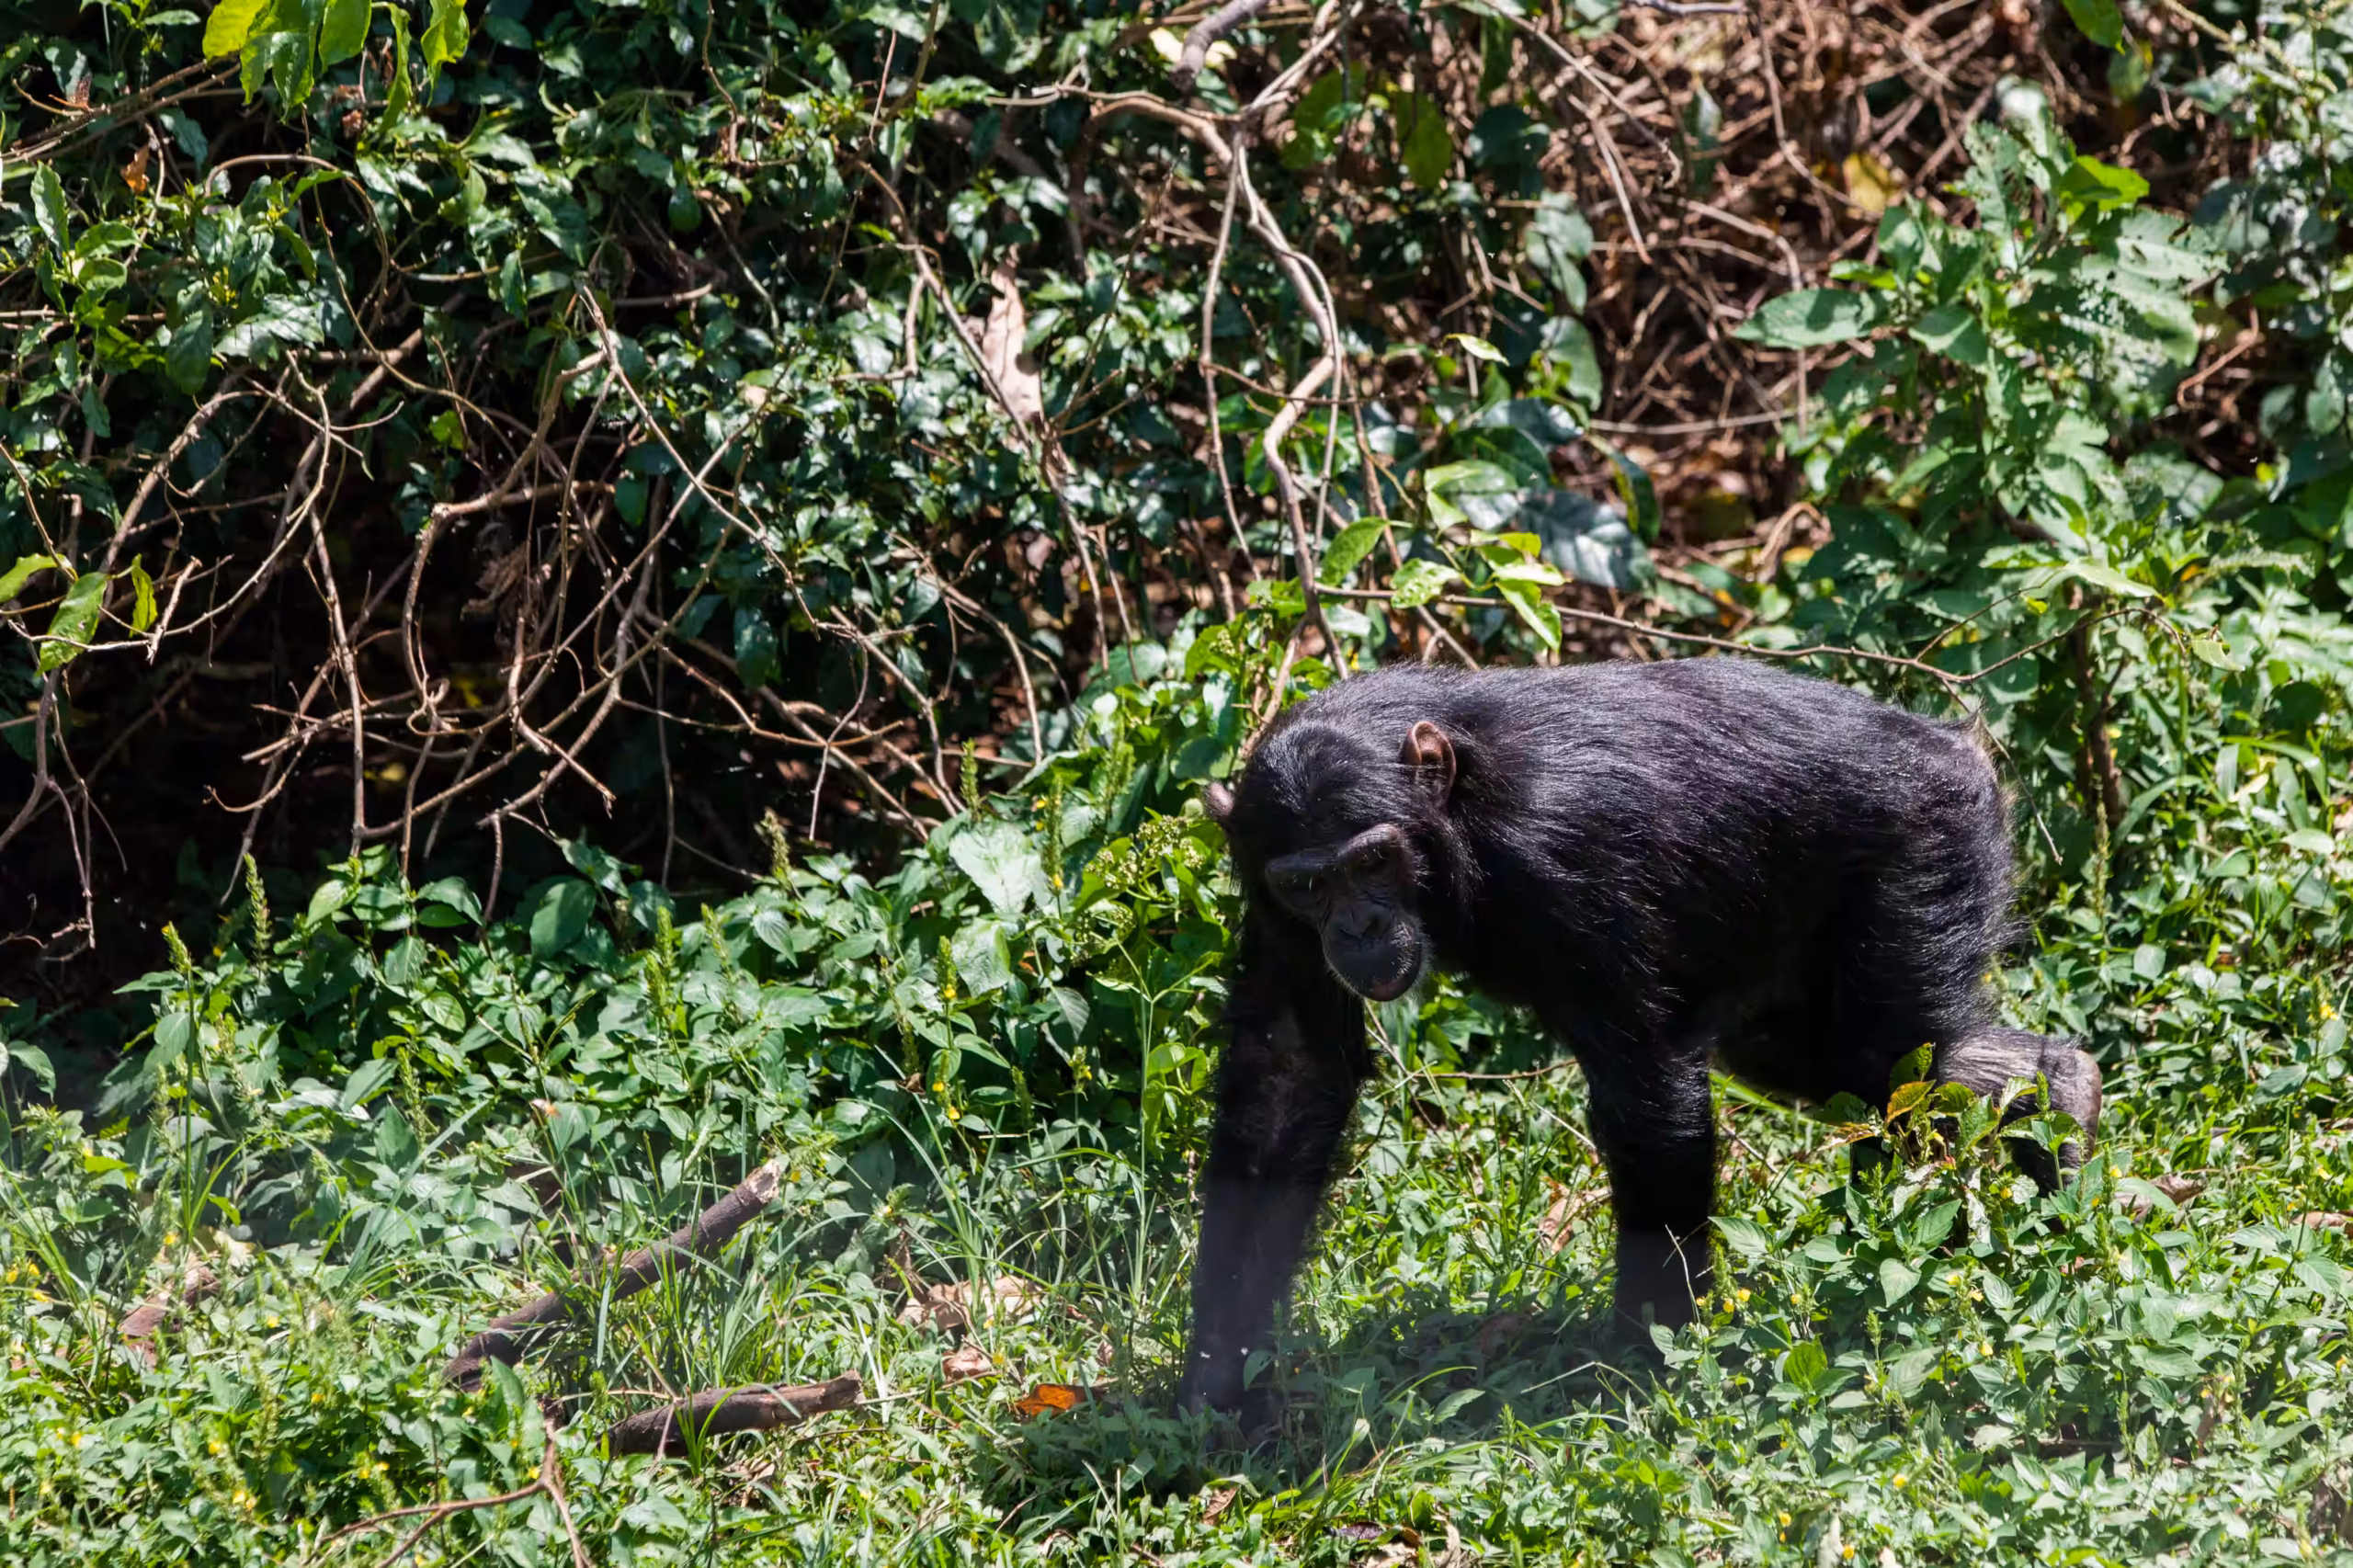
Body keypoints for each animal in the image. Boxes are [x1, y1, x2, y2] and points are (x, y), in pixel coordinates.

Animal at [1177, 658, 2101, 1413]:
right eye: (1309, 885)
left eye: (1371, 861)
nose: (1358, 927)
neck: (1460, 822)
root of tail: (1963, 747)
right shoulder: (1260, 876)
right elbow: (1291, 1068)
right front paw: (1218, 1385)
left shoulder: (1569, 853)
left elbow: (1646, 1097)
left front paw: (1647, 1361)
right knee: (1847, 1068)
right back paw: (2055, 1097)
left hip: (1926, 855)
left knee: (1895, 1060)